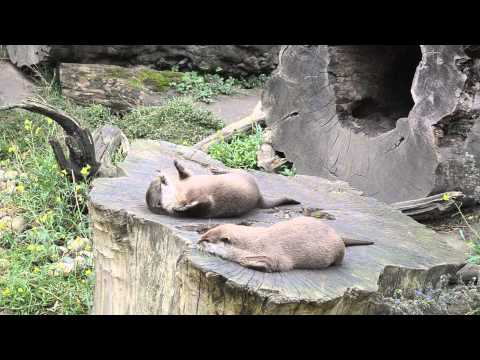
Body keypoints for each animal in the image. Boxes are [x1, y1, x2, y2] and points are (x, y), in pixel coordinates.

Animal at [145, 160, 300, 217]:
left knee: (234, 170)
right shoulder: (203, 205)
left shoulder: (187, 179)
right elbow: (203, 205)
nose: (162, 177)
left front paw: (177, 164)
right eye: (159, 186)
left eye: (158, 181)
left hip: (243, 174)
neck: (181, 191)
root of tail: (259, 197)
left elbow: (186, 173)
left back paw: (217, 170)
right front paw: (183, 208)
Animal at [198, 215, 376, 272]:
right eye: (204, 235)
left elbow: (276, 264)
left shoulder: (276, 255)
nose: (198, 242)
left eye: (206, 240)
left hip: (338, 251)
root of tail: (336, 234)